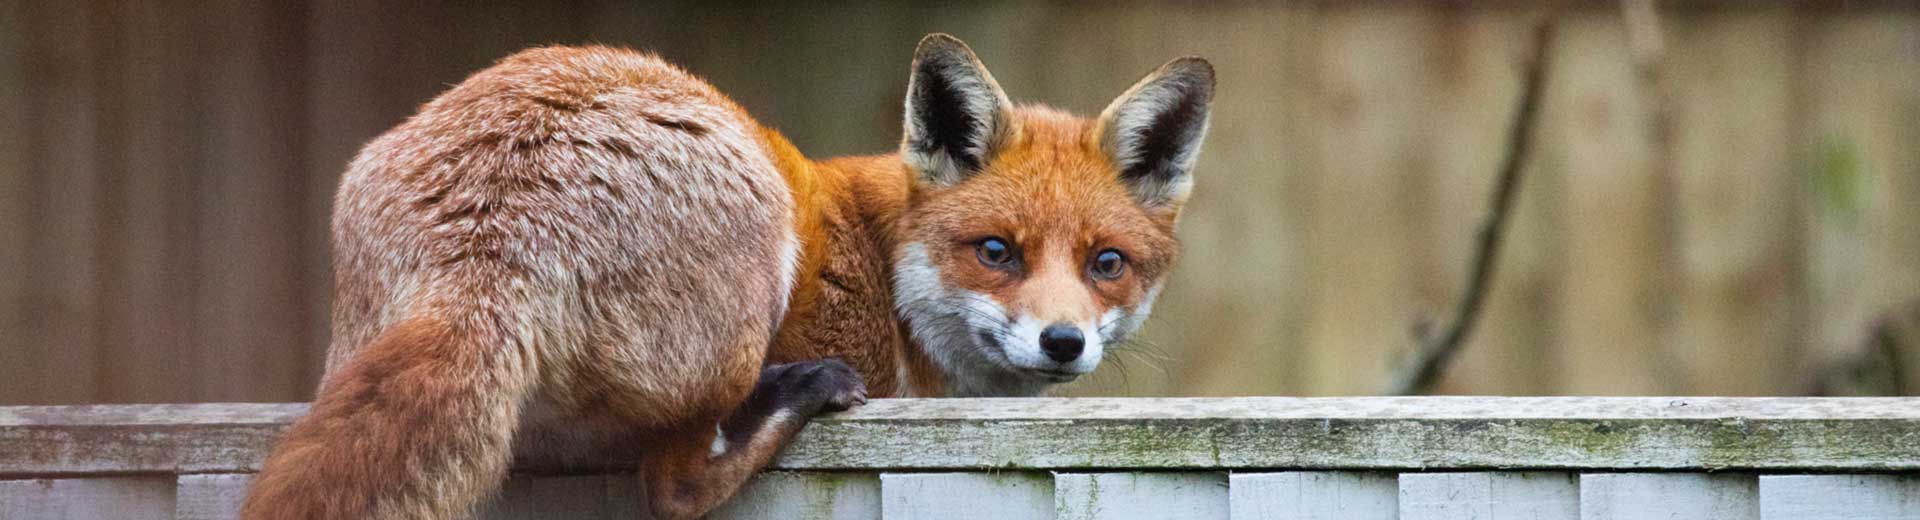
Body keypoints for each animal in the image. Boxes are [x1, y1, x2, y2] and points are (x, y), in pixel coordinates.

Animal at [241, 34, 1213, 519]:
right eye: (997, 251)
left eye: (1107, 265)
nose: (1063, 342)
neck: (888, 274)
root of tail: (484, 252)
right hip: (750, 243)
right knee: (673, 487)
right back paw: (796, 396)